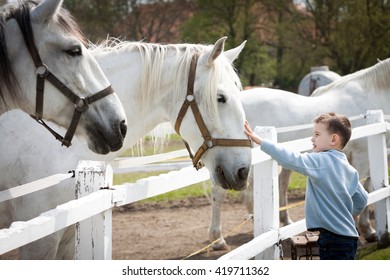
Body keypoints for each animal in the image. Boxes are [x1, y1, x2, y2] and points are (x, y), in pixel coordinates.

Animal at [209, 58, 390, 249]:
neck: (372, 93)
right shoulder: (363, 156)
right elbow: (365, 190)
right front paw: (366, 230)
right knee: (220, 194)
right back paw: (218, 240)